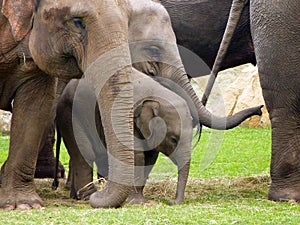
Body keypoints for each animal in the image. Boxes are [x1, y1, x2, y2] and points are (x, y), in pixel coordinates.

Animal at [55, 68, 193, 204]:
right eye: (173, 139)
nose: (171, 201)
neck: (157, 95)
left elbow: (150, 157)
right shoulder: (129, 119)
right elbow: (137, 155)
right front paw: (136, 202)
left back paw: (76, 196)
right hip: (71, 116)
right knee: (84, 154)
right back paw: (87, 196)